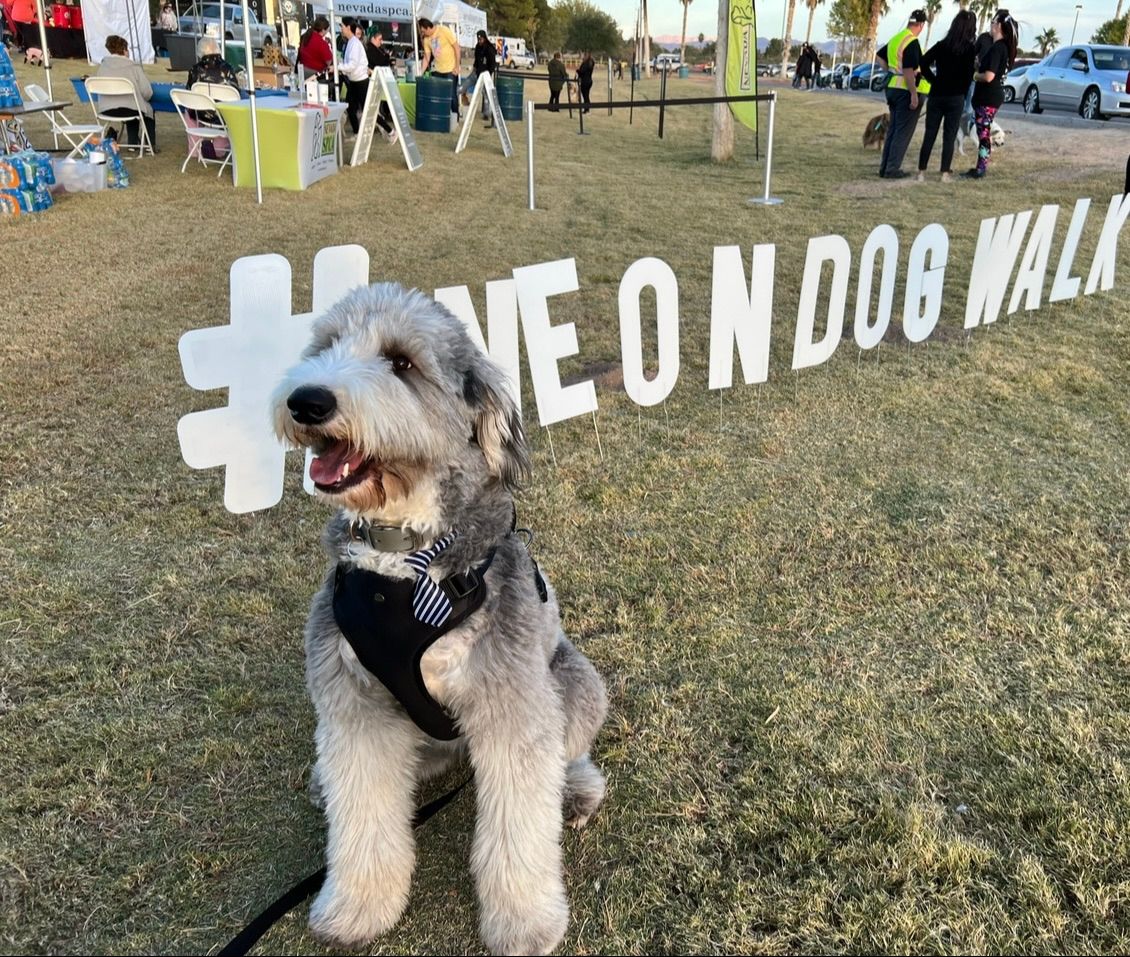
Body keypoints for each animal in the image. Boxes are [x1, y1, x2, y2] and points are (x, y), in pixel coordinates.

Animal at [271, 284, 610, 957]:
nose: (307, 400)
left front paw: (525, 924)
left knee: (569, 754)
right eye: (325, 346)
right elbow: (363, 811)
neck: (405, 559)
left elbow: (520, 829)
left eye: (401, 362)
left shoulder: (513, 706)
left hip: (573, 681)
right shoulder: (355, 706)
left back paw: (576, 791)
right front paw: (357, 907)